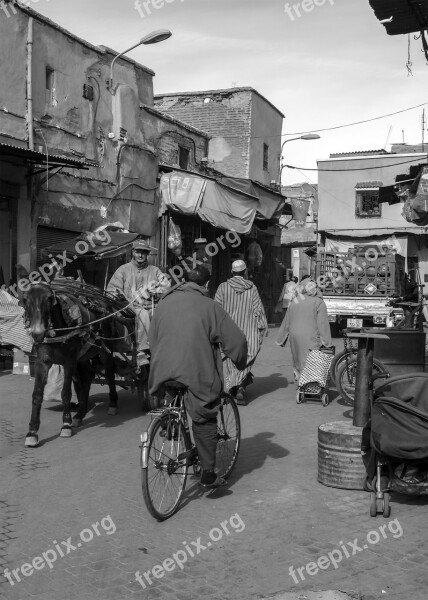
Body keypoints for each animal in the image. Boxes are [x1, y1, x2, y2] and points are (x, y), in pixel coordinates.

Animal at [21, 280, 132, 446]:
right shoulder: (43, 362)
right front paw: (32, 432)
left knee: (109, 374)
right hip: (83, 357)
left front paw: (66, 425)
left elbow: (66, 393)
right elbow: (37, 395)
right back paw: (80, 414)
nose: (38, 333)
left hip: (105, 350)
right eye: (26, 300)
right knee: (86, 380)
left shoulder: (69, 362)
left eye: (49, 299)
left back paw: (112, 404)